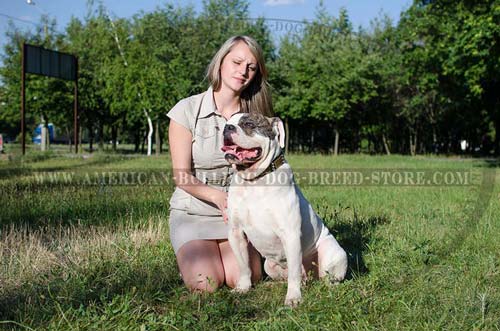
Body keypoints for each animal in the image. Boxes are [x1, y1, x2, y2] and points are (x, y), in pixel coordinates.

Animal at [223, 113, 348, 308]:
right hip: (269, 265)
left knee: (326, 278)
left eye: (249, 124)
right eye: (227, 122)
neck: (254, 181)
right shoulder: (236, 233)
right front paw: (243, 288)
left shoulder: (290, 234)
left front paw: (293, 298)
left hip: (333, 255)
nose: (227, 128)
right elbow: (244, 266)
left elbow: (294, 273)